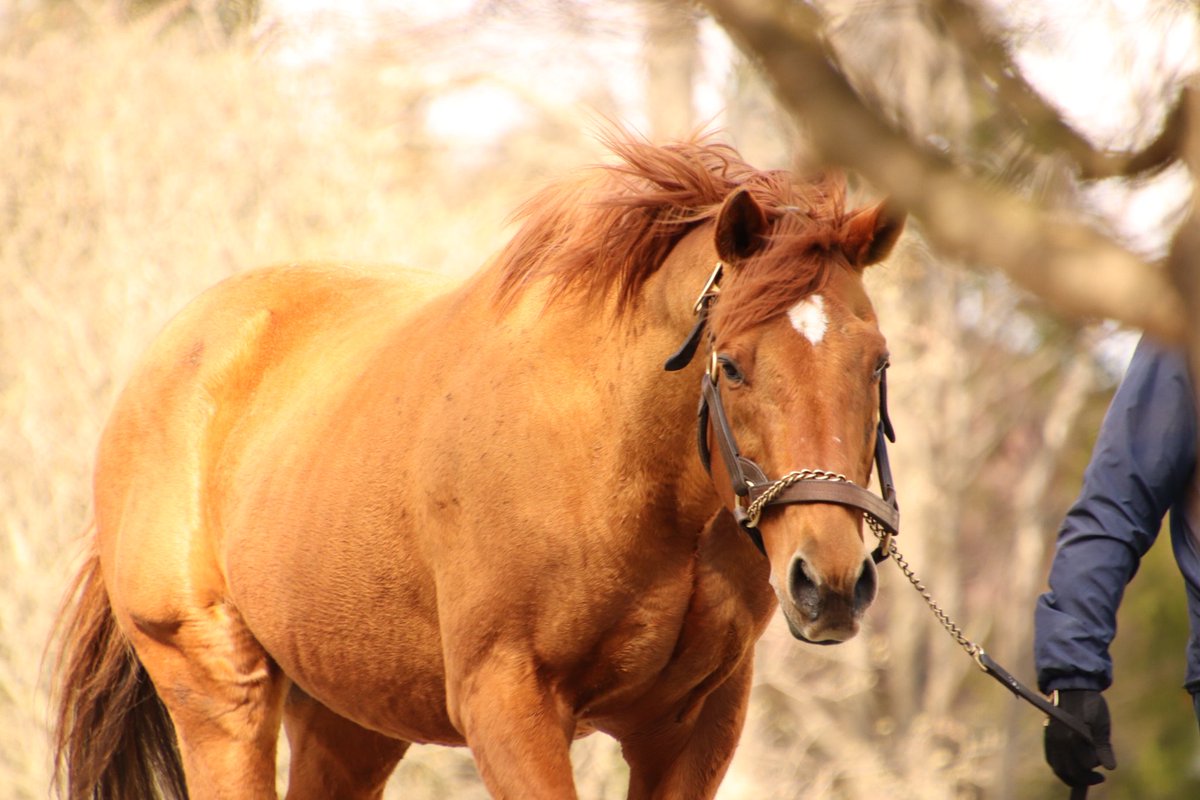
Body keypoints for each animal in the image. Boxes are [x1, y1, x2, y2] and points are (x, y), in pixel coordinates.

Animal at [54, 134, 902, 796]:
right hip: (220, 693)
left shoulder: (692, 727)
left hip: (350, 716)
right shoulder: (509, 706)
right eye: (731, 364)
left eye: (878, 363)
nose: (829, 582)